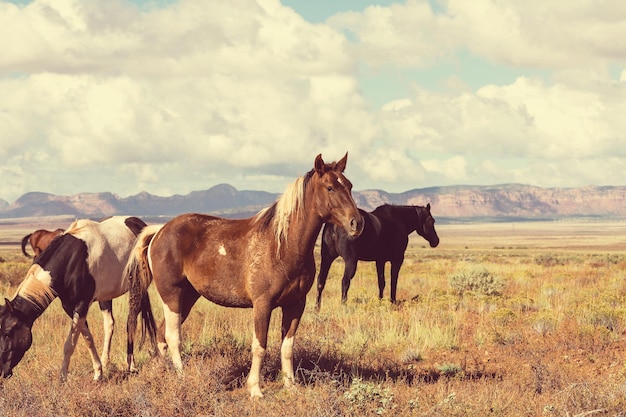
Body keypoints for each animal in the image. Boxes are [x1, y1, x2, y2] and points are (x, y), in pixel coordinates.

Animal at [0, 216, 155, 378]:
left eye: (7, 333)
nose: (2, 372)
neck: (70, 261)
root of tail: (139, 223)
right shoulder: (70, 307)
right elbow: (87, 338)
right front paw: (98, 371)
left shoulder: (81, 305)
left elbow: (70, 344)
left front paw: (63, 377)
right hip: (106, 296)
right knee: (110, 324)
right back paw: (106, 362)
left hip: (137, 288)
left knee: (131, 321)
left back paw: (131, 365)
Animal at [122, 153, 364, 396]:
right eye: (330, 187)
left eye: (350, 186)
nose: (357, 223)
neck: (282, 245)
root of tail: (159, 231)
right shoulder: (262, 304)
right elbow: (259, 346)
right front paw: (255, 389)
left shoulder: (296, 304)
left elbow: (287, 347)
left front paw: (290, 385)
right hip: (172, 295)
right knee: (173, 336)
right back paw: (181, 376)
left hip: (188, 297)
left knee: (161, 335)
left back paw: (162, 373)